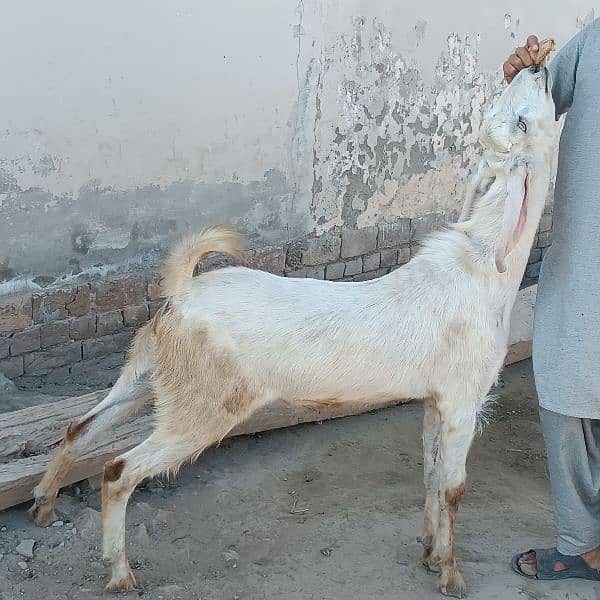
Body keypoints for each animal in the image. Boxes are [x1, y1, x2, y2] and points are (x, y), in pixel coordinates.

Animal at [30, 63, 556, 596]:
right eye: (518, 118)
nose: (536, 66)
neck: (481, 267)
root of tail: (183, 293)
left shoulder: (435, 398)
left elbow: (430, 475)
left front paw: (429, 552)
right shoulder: (463, 399)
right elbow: (453, 487)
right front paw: (451, 574)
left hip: (150, 373)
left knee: (80, 428)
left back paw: (44, 505)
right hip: (205, 403)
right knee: (118, 471)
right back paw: (119, 572)